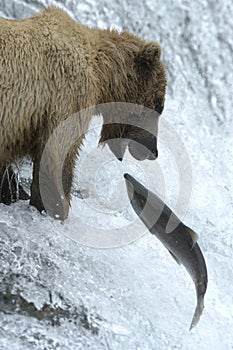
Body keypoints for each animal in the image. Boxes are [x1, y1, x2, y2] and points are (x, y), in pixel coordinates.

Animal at [0, 6, 167, 220]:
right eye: (158, 107)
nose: (153, 151)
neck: (101, 76)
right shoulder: (66, 96)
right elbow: (58, 159)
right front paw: (56, 210)